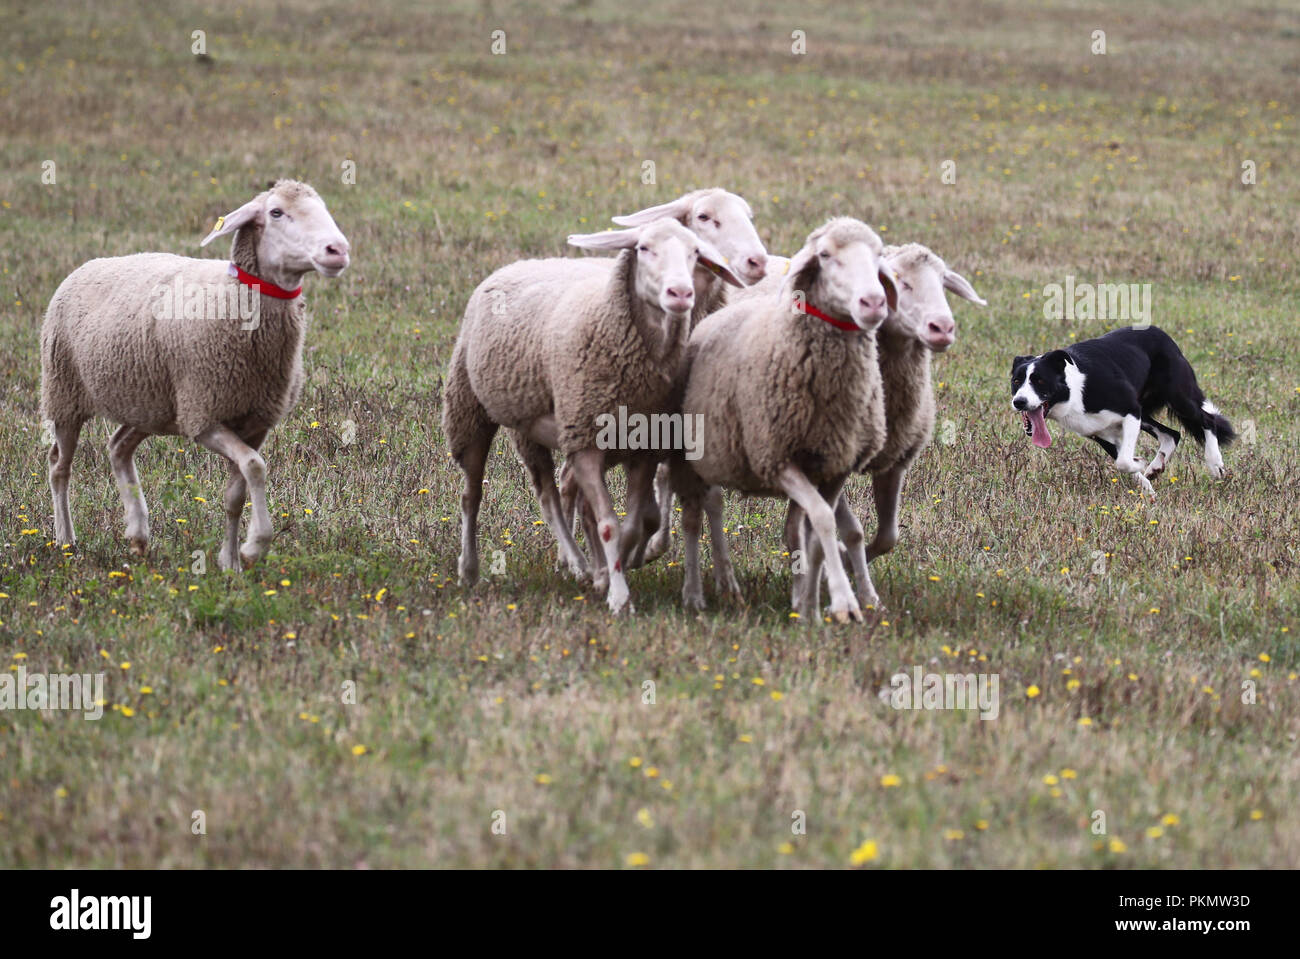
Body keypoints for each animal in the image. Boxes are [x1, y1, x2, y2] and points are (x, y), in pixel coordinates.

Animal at [39, 178, 351, 566]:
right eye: (276, 212)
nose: (338, 250)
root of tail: (86, 266)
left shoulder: (254, 422)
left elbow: (236, 493)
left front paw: (230, 563)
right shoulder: (204, 417)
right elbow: (255, 467)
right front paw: (255, 545)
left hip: (152, 405)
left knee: (118, 448)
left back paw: (138, 534)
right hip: (64, 392)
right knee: (59, 465)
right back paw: (67, 540)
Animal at [441, 217, 743, 608]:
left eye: (695, 252)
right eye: (643, 248)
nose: (680, 294)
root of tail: (516, 264)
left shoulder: (643, 448)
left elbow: (633, 523)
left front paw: (614, 571)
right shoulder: (584, 440)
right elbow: (609, 523)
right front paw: (618, 595)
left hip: (526, 427)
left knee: (550, 496)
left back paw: (583, 566)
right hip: (470, 409)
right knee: (479, 496)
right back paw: (474, 569)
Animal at [665, 217, 899, 621]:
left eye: (878, 256)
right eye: (825, 255)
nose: (873, 303)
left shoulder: (833, 467)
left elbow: (813, 533)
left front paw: (810, 607)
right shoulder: (776, 457)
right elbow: (821, 519)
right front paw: (843, 602)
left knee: (732, 511)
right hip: (691, 457)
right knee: (694, 518)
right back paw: (694, 595)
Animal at [790, 242, 982, 608]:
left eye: (942, 282)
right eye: (900, 282)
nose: (942, 328)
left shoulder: (896, 462)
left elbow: (888, 536)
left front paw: (853, 568)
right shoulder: (834, 458)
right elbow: (852, 530)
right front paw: (847, 565)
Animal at [1008, 324, 1232, 496]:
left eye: (1039, 381)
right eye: (1016, 381)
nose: (1019, 402)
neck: (1072, 391)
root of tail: (1160, 332)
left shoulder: (1130, 410)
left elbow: (1124, 461)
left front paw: (1140, 462)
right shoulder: (1100, 433)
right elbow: (1123, 461)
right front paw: (1148, 489)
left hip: (1178, 397)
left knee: (1207, 419)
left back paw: (1215, 464)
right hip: (1146, 412)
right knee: (1172, 434)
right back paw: (1155, 468)